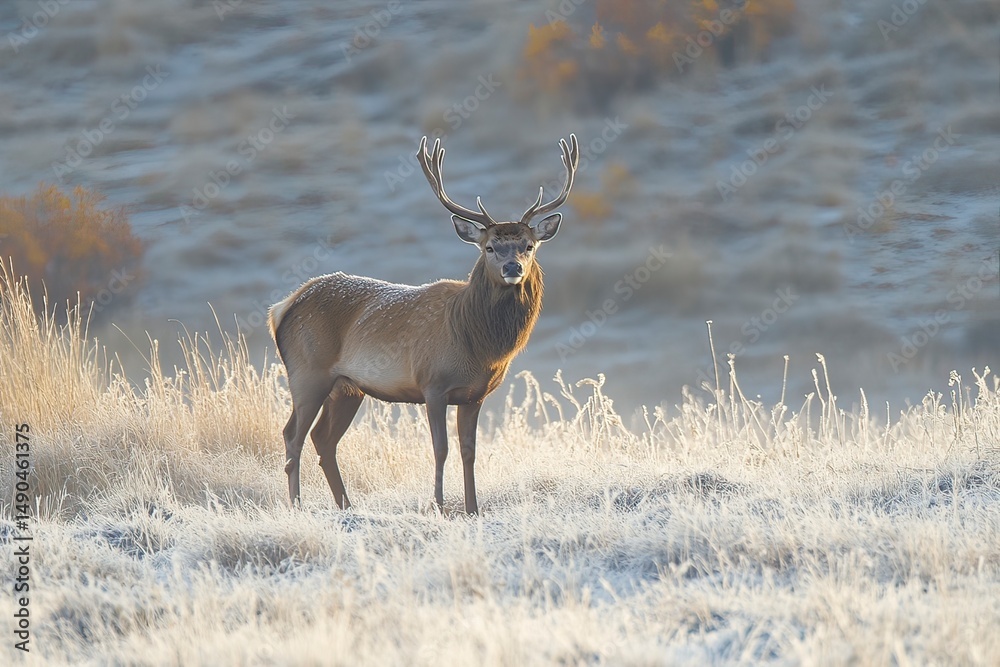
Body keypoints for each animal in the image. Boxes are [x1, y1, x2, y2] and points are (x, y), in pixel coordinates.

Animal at [268, 133, 579, 514]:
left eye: (529, 245)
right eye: (489, 247)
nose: (512, 268)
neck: (478, 345)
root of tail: (283, 307)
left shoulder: (474, 395)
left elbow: (469, 452)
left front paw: (472, 509)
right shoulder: (432, 383)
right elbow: (440, 449)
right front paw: (439, 507)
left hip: (347, 387)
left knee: (322, 438)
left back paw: (346, 506)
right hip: (307, 372)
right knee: (292, 435)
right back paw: (297, 505)